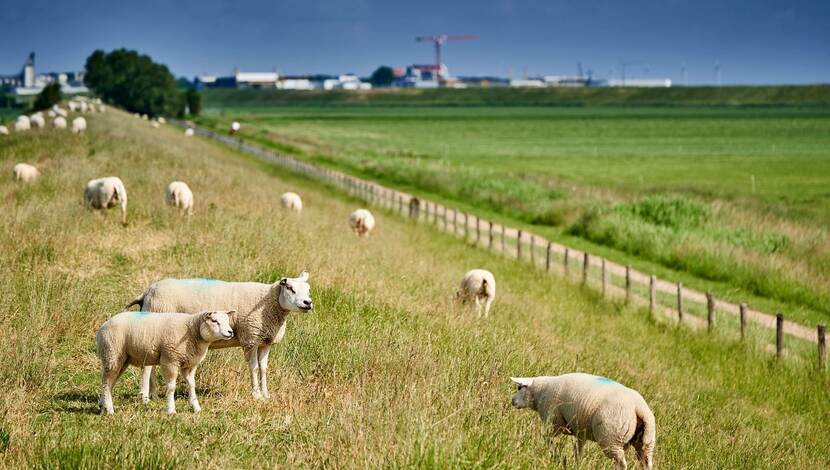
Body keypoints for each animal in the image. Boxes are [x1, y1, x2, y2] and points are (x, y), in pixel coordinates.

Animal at [96, 308, 236, 414]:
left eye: (227, 321)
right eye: (214, 321)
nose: (230, 332)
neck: (192, 329)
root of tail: (103, 326)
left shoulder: (189, 364)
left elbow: (192, 385)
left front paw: (196, 408)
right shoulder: (170, 359)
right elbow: (171, 387)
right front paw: (171, 410)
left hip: (121, 359)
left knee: (109, 383)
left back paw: (103, 407)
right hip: (112, 354)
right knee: (106, 383)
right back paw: (110, 410)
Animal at [127, 272, 316, 400]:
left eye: (308, 290)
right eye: (290, 289)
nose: (308, 303)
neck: (269, 303)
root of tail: (147, 293)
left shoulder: (265, 340)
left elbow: (263, 368)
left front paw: (266, 395)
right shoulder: (250, 338)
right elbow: (254, 368)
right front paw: (256, 395)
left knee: (151, 364)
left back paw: (154, 395)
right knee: (147, 367)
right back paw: (145, 397)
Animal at [510, 374, 660, 470]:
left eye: (519, 388)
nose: (512, 401)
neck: (540, 391)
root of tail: (639, 407)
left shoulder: (553, 421)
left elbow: (548, 439)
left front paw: (550, 454)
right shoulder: (580, 431)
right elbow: (579, 450)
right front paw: (576, 464)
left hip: (611, 438)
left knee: (621, 464)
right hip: (646, 442)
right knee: (646, 463)